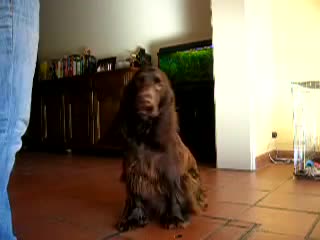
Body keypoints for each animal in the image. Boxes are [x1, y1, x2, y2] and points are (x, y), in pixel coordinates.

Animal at [115, 64, 208, 232]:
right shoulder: (132, 169)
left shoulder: (170, 171)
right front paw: (132, 219)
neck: (146, 135)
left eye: (159, 84)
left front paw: (175, 218)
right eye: (138, 82)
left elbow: (173, 194)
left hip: (189, 179)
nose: (145, 103)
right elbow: (135, 197)